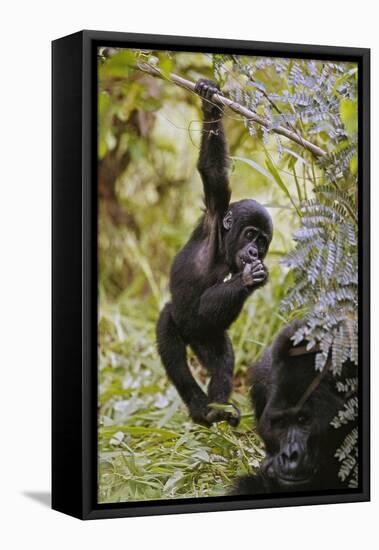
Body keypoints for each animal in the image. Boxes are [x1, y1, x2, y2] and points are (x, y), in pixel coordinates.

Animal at [157, 80, 274, 430]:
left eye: (263, 241)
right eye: (250, 234)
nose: (254, 250)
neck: (224, 249)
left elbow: (210, 307)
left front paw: (252, 277)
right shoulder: (214, 210)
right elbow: (212, 172)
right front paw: (210, 104)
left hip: (206, 338)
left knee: (222, 360)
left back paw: (217, 408)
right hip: (176, 322)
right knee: (174, 352)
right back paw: (200, 408)